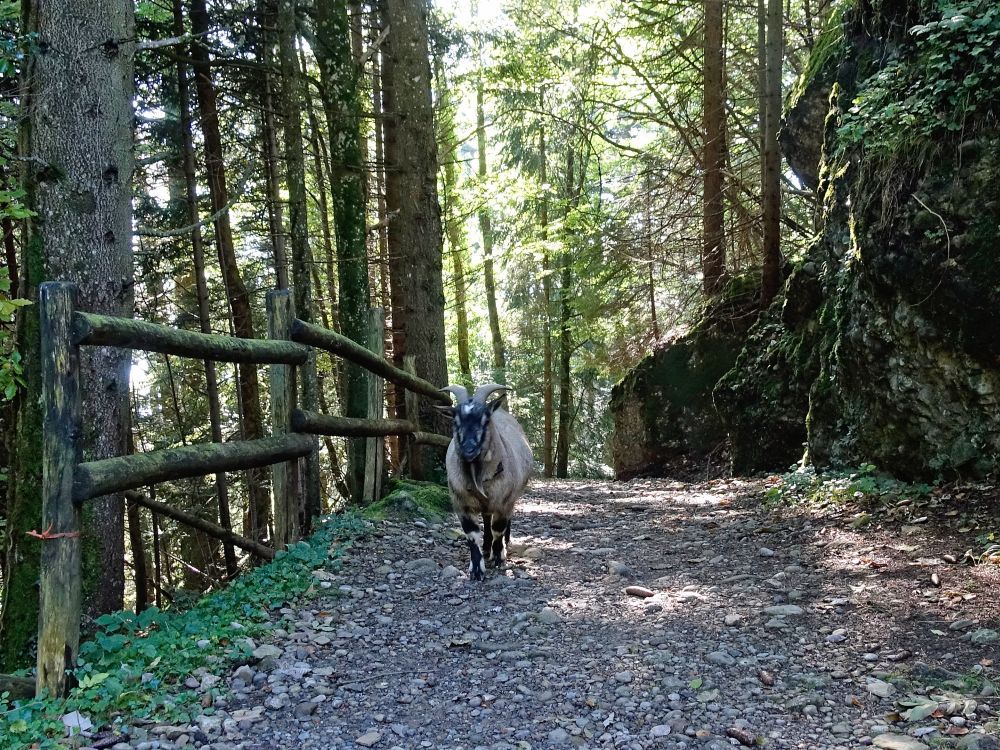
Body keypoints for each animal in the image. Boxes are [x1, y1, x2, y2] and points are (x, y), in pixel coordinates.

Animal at [438, 384, 532, 580]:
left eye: (485, 419)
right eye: (455, 421)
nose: (468, 449)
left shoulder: (504, 502)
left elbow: (498, 529)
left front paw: (499, 558)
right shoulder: (461, 503)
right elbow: (472, 534)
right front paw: (476, 569)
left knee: (503, 524)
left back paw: (503, 545)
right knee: (487, 520)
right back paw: (486, 547)